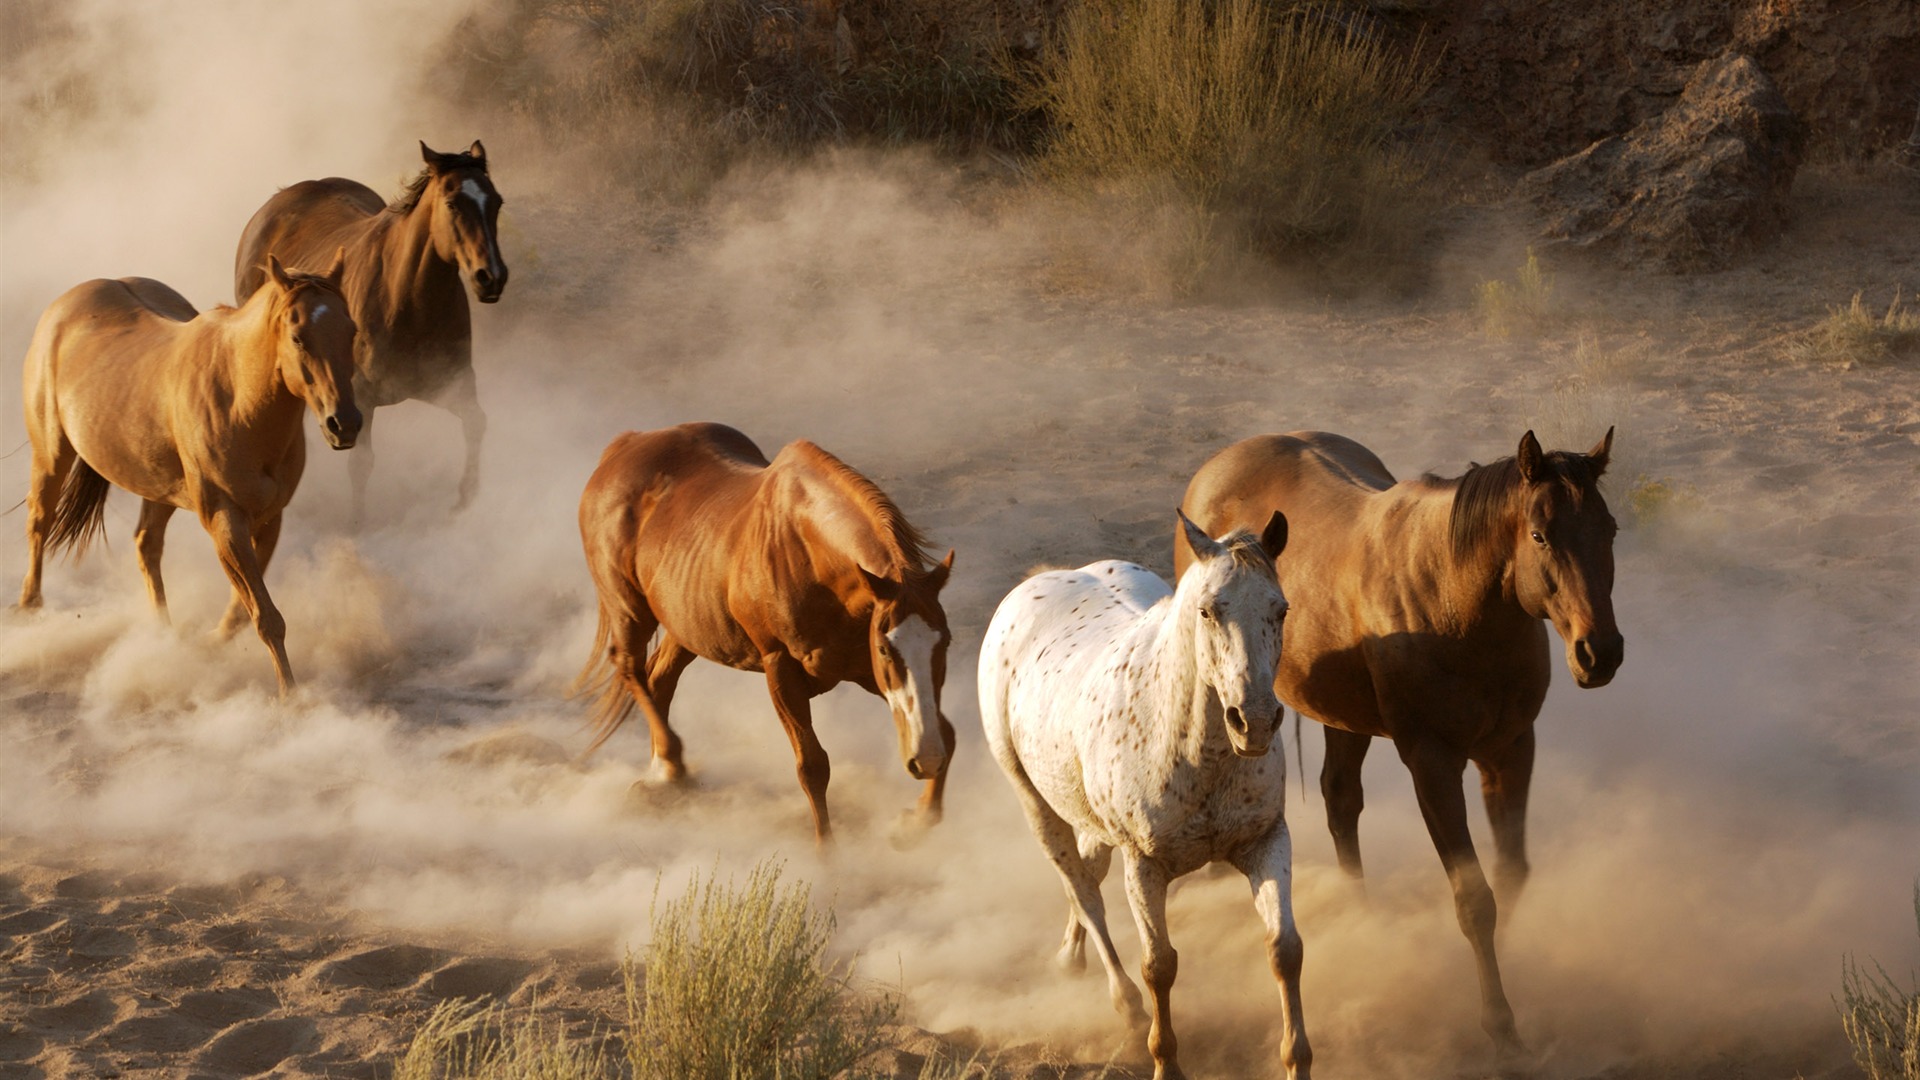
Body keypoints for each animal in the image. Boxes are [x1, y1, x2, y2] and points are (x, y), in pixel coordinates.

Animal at [19, 253, 362, 691]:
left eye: (351, 331)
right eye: (299, 337)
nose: (345, 424)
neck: (239, 401)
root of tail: (66, 304)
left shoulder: (269, 519)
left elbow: (244, 614)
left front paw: (211, 644)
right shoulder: (224, 519)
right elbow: (267, 618)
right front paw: (291, 697)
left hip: (158, 487)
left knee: (146, 545)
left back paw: (164, 635)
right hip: (51, 454)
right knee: (39, 522)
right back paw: (30, 610)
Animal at [233, 138, 510, 526]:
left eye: (496, 202)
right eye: (453, 203)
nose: (492, 277)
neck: (407, 300)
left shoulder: (452, 383)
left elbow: (475, 423)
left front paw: (466, 500)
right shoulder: (358, 397)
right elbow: (361, 463)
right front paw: (358, 523)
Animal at [568, 420, 960, 841]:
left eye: (945, 643)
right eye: (886, 648)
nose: (925, 759)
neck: (809, 555)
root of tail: (624, 446)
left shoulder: (863, 670)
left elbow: (947, 732)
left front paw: (915, 823)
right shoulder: (782, 669)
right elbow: (812, 766)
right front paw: (828, 852)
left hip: (685, 626)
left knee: (659, 679)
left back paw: (663, 775)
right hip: (629, 608)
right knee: (629, 666)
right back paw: (671, 765)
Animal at [983, 511, 1313, 1076]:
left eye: (1281, 608)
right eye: (1207, 610)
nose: (1254, 722)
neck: (1195, 753)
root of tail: (1039, 581)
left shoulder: (1267, 842)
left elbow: (1284, 950)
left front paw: (1298, 1060)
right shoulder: (1144, 865)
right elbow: (1159, 966)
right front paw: (1165, 1061)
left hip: (1087, 814)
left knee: (1088, 872)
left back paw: (1070, 956)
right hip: (1034, 802)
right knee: (1083, 890)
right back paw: (1125, 1005)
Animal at [1167, 426, 1620, 1053]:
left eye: (1610, 530)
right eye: (1539, 535)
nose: (1600, 653)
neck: (1456, 602)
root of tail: (1217, 468)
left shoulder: (1510, 751)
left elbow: (1511, 875)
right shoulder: (1432, 764)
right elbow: (1474, 899)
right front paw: (1499, 1024)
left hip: (1344, 717)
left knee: (1340, 800)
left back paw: (1363, 916)